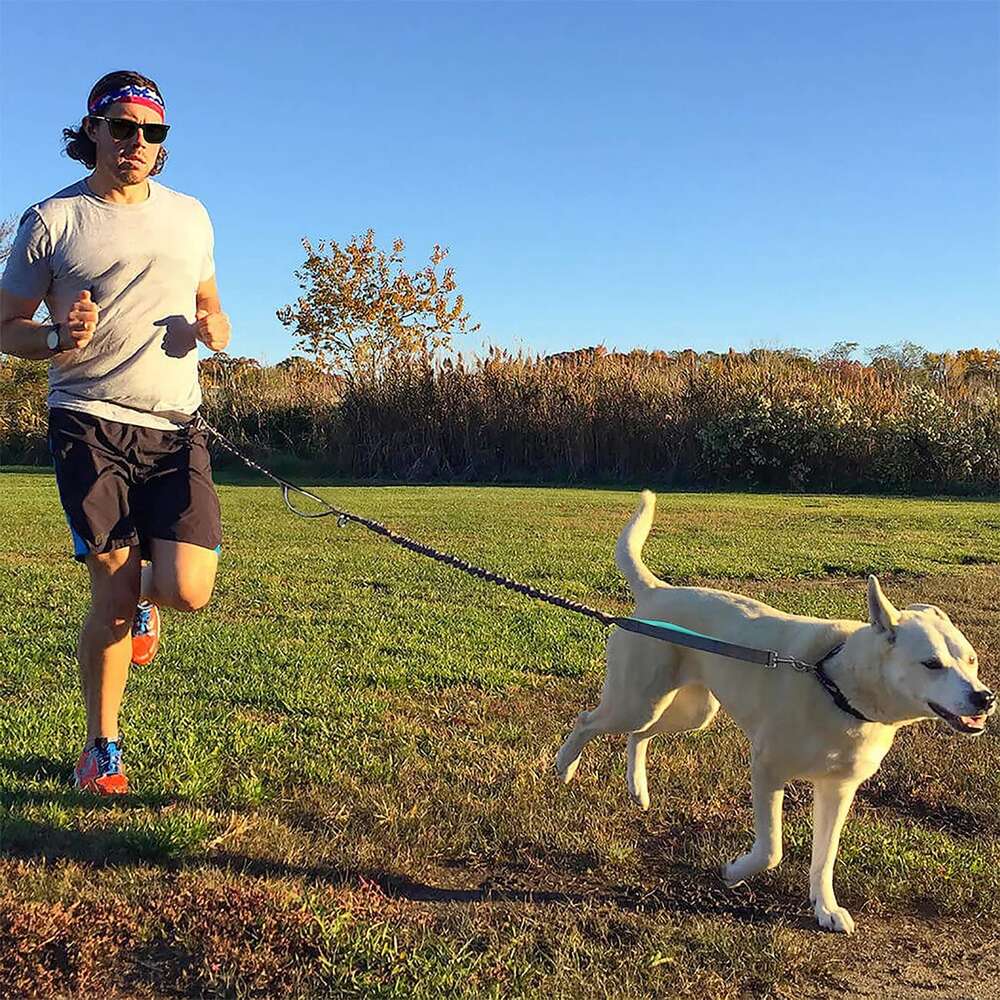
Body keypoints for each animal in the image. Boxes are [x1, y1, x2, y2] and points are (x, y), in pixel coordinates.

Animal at [556, 490, 992, 928]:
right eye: (931, 664)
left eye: (971, 661)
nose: (984, 698)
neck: (836, 685)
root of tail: (656, 591)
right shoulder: (767, 769)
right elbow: (771, 851)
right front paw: (733, 872)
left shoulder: (838, 789)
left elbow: (825, 857)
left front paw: (825, 907)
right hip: (637, 701)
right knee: (588, 721)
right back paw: (565, 766)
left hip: (691, 713)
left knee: (638, 736)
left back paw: (638, 790)